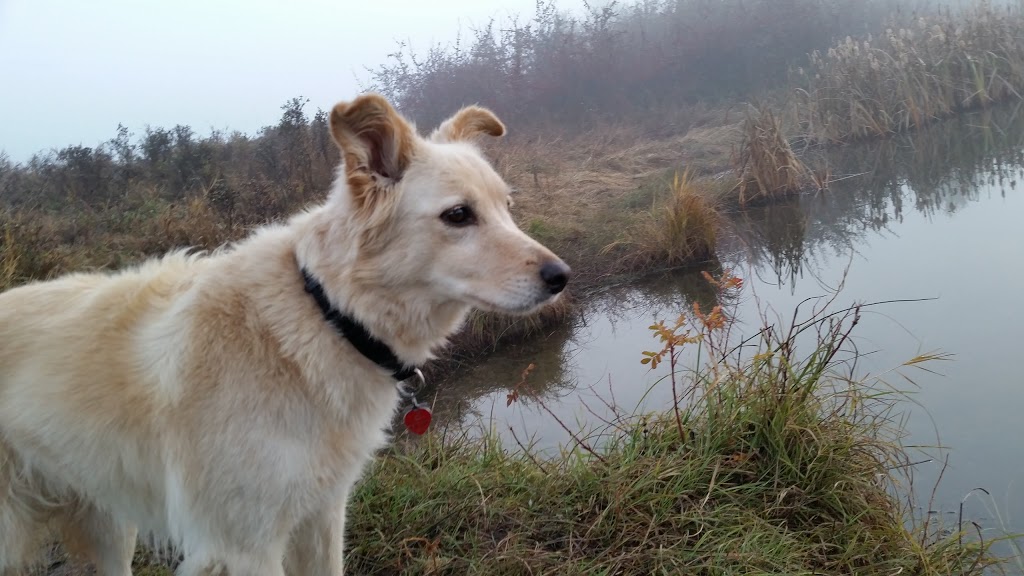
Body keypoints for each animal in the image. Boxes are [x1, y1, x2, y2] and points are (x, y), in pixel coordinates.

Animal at [0, 91, 569, 569]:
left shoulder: (321, 516)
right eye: (458, 215)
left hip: (109, 526)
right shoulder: (246, 545)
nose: (561, 277)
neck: (327, 316)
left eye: (507, 209)